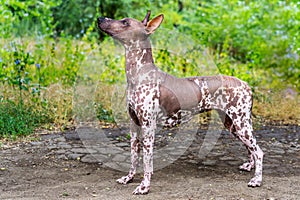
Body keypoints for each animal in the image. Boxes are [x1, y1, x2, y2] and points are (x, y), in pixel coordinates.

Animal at [97, 10, 264, 194]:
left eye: (125, 22)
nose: (100, 18)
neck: (139, 75)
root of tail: (246, 85)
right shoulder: (134, 125)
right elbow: (134, 157)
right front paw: (129, 178)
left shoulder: (148, 127)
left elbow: (147, 161)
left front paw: (144, 186)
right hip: (234, 124)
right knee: (251, 148)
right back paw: (249, 166)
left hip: (240, 123)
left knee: (258, 151)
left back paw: (256, 179)